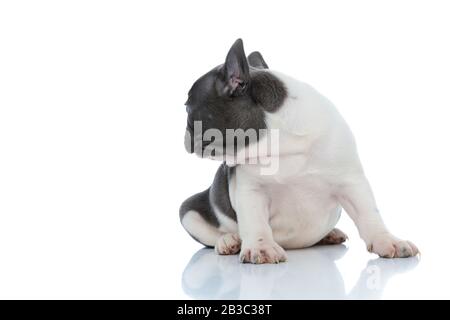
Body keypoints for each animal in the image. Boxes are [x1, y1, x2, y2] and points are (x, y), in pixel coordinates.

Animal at [179, 38, 418, 264]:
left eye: (188, 108)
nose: (185, 132)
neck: (279, 144)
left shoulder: (351, 181)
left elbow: (368, 213)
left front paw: (388, 241)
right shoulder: (251, 190)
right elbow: (255, 221)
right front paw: (261, 247)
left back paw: (330, 234)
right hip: (188, 212)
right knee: (212, 237)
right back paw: (229, 241)